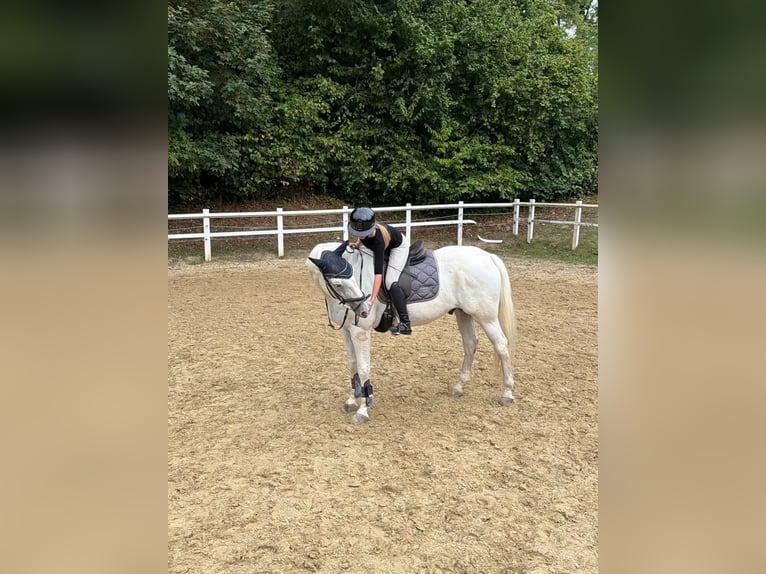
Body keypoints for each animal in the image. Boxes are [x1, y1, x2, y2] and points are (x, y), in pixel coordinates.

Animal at [306, 241, 517, 425]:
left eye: (351, 276)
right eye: (338, 284)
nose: (364, 309)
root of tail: (487, 256)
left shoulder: (360, 333)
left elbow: (364, 368)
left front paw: (362, 411)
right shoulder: (346, 331)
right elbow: (352, 365)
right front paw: (351, 401)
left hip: (486, 317)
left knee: (501, 346)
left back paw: (507, 393)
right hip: (463, 313)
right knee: (470, 344)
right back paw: (459, 386)